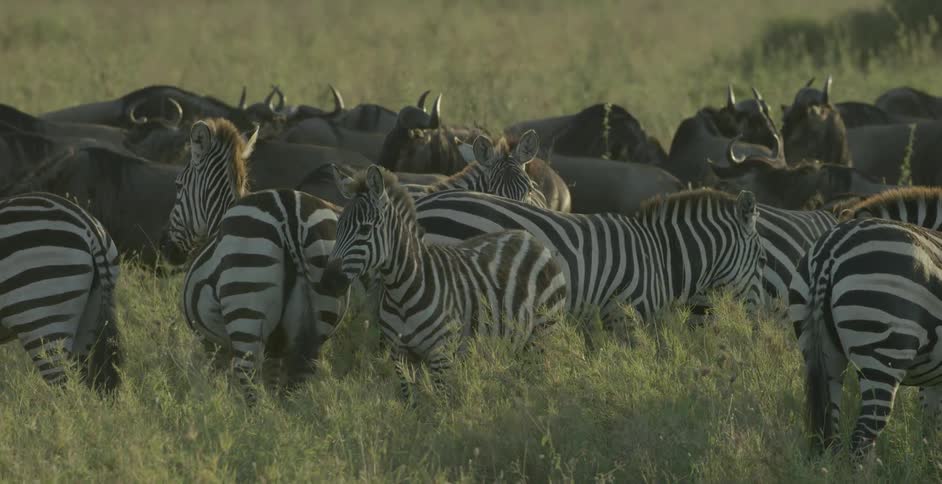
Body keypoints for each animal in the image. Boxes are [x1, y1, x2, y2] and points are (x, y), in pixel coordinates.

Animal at [158, 118, 346, 400]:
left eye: (179, 185)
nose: (166, 246)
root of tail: (290, 219)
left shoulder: (212, 342)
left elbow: (218, 384)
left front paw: (213, 407)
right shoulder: (276, 348)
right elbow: (272, 383)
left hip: (245, 306)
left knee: (248, 384)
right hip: (318, 320)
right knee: (294, 387)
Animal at [326, 165, 567, 400]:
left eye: (365, 230)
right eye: (337, 227)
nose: (330, 279)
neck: (401, 293)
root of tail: (529, 238)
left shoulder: (441, 355)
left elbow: (441, 406)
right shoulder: (400, 355)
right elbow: (411, 405)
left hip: (543, 332)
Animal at [789, 217, 942, 457]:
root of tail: (830, 249)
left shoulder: (933, 380)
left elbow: (930, 430)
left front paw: (927, 459)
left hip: (822, 355)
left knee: (828, 434)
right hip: (882, 353)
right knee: (861, 439)